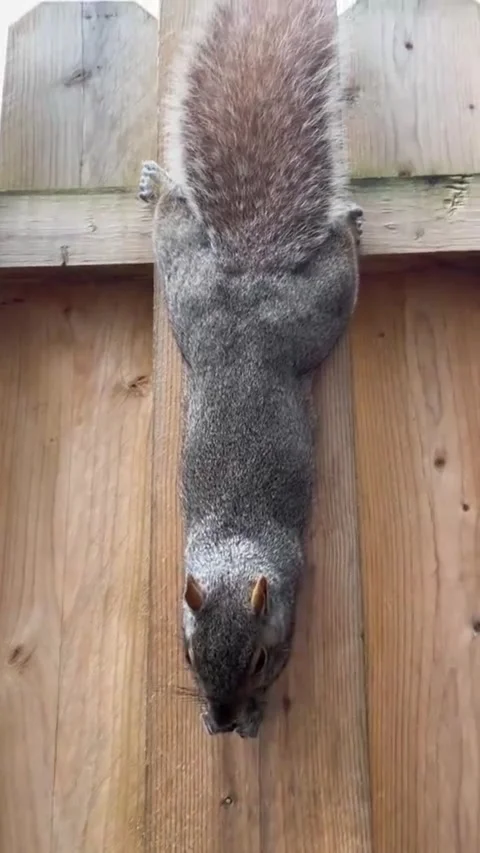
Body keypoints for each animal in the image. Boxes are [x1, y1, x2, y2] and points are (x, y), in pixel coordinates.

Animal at [139, 0, 362, 738]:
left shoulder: (293, 596)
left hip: (306, 314)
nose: (223, 714)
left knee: (338, 267)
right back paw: (161, 184)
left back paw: (346, 219)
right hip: (189, 291)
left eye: (263, 660)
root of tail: (249, 276)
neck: (236, 553)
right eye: (187, 652)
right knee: (173, 224)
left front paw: (255, 718)